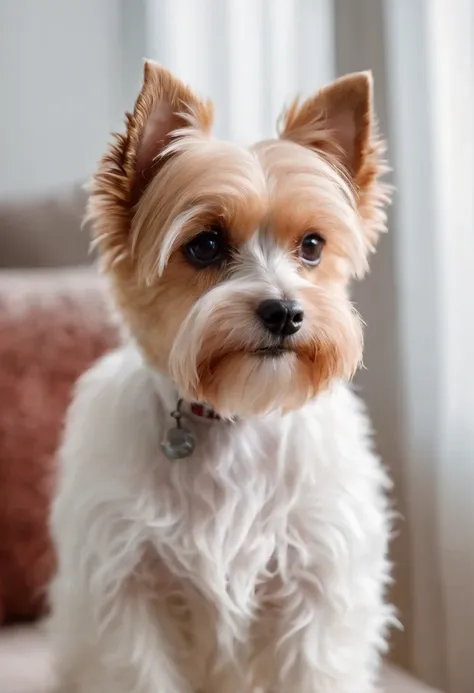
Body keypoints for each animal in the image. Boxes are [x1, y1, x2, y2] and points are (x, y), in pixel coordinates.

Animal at [50, 60, 394, 692]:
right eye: (206, 245)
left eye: (312, 246)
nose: (285, 312)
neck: (235, 416)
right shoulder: (130, 595)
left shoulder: (316, 590)